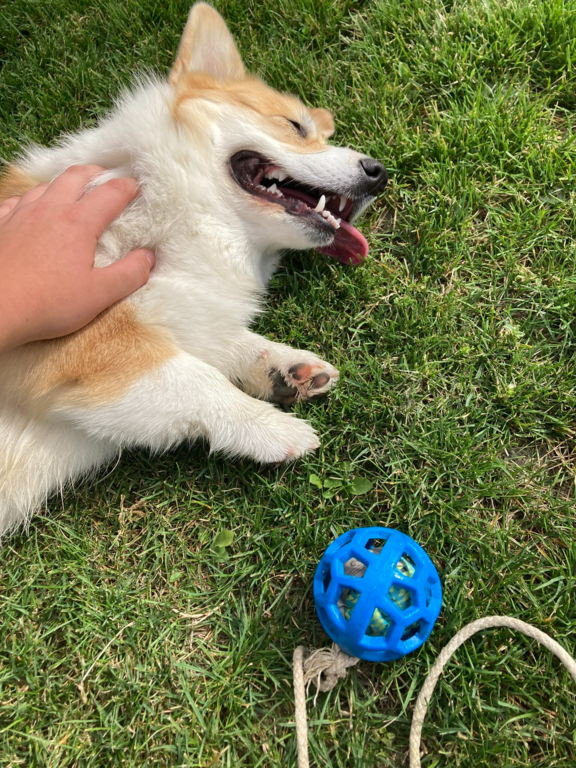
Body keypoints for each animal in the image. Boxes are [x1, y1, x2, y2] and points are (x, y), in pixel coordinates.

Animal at [0, 3, 388, 538]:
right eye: (295, 126)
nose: (379, 173)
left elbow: (221, 342)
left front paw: (283, 369)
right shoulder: (74, 328)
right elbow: (194, 378)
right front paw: (270, 427)